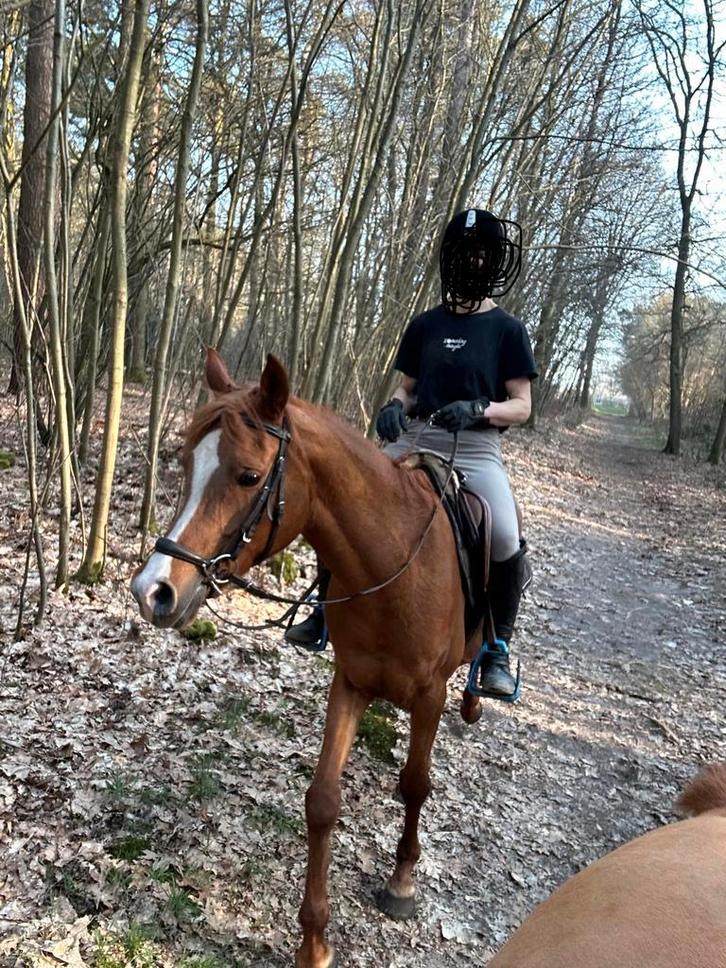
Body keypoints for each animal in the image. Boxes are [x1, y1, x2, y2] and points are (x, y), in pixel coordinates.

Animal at [130, 348, 491, 968]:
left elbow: (416, 784)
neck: (394, 569)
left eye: (249, 476)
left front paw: (401, 882)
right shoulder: (351, 682)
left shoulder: (430, 695)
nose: (153, 590)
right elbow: (322, 801)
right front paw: (314, 942)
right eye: (185, 461)